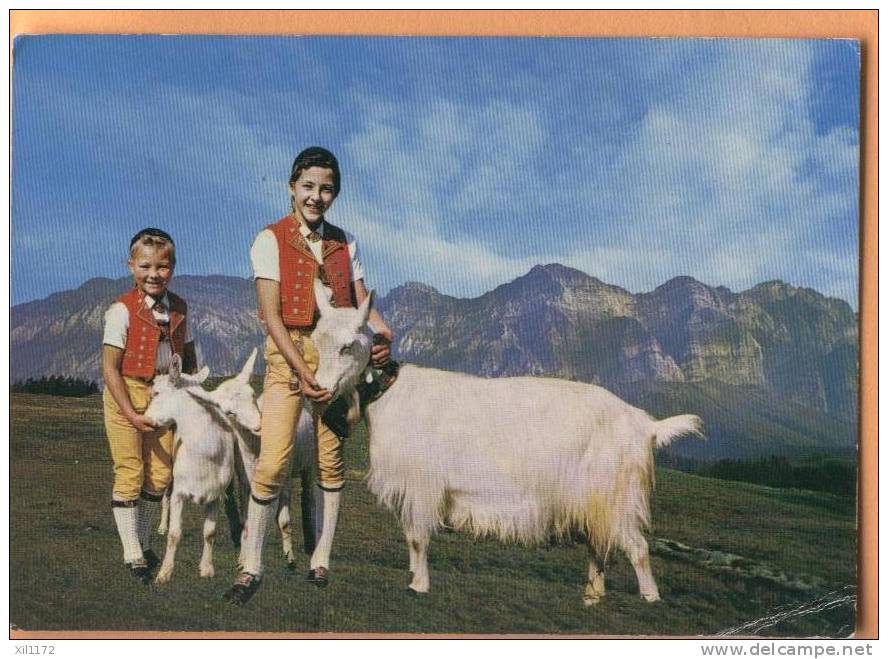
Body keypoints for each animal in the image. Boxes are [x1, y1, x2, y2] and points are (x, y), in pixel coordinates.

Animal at [308, 278, 704, 604]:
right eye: (315, 339)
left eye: (348, 346)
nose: (320, 390)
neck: (391, 393)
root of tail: (645, 424)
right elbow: (410, 535)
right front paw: (413, 578)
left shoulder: (422, 485)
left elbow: (418, 537)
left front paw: (418, 585)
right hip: (592, 499)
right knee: (598, 543)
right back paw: (592, 595)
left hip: (616, 495)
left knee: (637, 546)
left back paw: (649, 599)